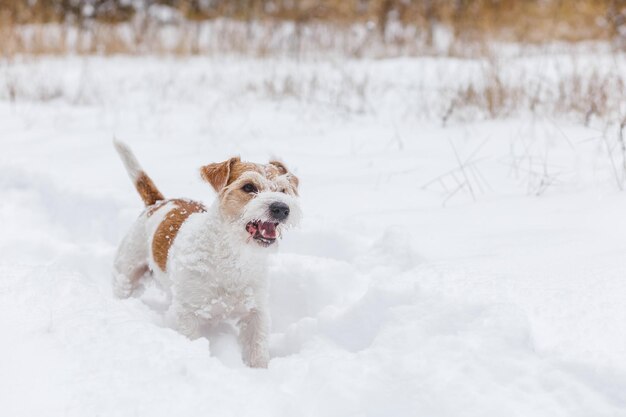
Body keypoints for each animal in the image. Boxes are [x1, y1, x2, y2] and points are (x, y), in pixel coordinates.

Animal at [111, 141, 300, 368]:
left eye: (283, 190)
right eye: (248, 187)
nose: (281, 208)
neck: (233, 256)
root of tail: (158, 203)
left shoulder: (256, 312)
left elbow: (257, 348)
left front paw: (259, 370)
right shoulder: (186, 314)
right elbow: (190, 337)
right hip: (127, 271)